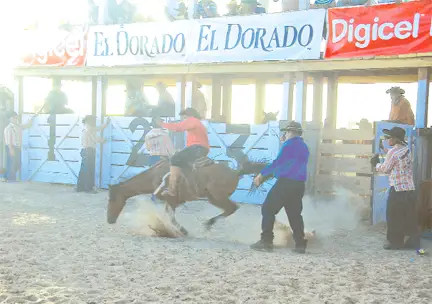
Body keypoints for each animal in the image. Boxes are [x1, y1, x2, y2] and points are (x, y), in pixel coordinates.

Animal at [106, 158, 266, 234]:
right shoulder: (173, 201)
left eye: (112, 198)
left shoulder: (171, 200)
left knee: (232, 208)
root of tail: (235, 172)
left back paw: (208, 223)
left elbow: (170, 217)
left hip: (218, 196)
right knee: (230, 209)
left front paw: (182, 231)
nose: (109, 220)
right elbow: (169, 215)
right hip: (212, 197)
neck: (154, 176)